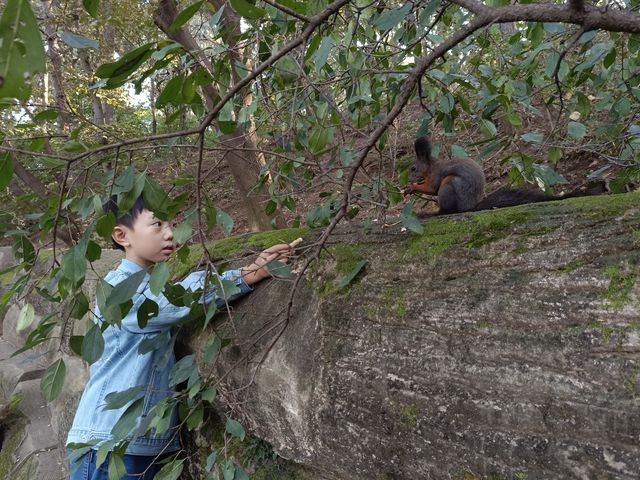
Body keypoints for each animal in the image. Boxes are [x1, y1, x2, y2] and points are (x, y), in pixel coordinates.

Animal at [402, 137, 604, 216]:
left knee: (446, 210)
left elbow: (431, 188)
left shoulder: (437, 175)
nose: (405, 180)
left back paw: (432, 213)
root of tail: (469, 207)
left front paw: (412, 188)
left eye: (413, 168)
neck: (430, 167)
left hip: (449, 184)